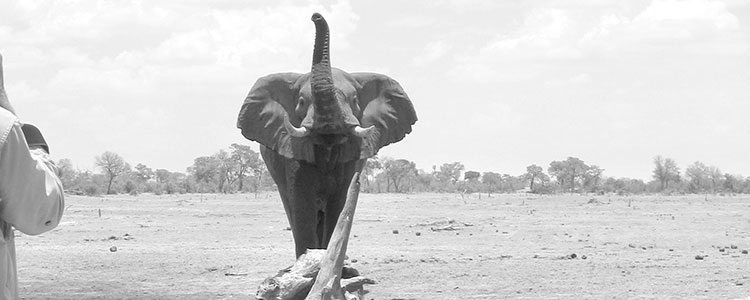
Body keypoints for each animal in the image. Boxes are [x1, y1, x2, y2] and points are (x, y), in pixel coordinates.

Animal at [236, 11, 418, 255]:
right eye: (301, 102)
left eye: (354, 100)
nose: (315, 16)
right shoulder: (292, 150)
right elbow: (302, 203)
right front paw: (308, 260)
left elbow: (340, 203)